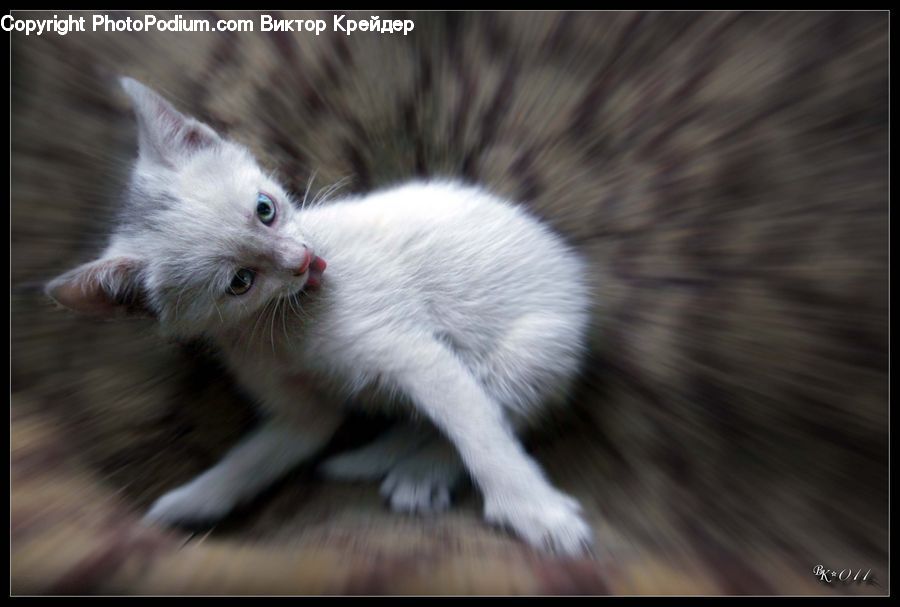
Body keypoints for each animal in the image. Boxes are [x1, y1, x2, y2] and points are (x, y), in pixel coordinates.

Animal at [49, 78, 596, 560]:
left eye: (265, 209)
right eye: (240, 282)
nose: (305, 260)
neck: (285, 321)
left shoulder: (415, 353)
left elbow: (482, 435)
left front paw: (540, 515)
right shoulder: (298, 412)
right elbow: (253, 459)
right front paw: (184, 505)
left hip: (533, 348)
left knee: (500, 410)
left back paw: (422, 472)